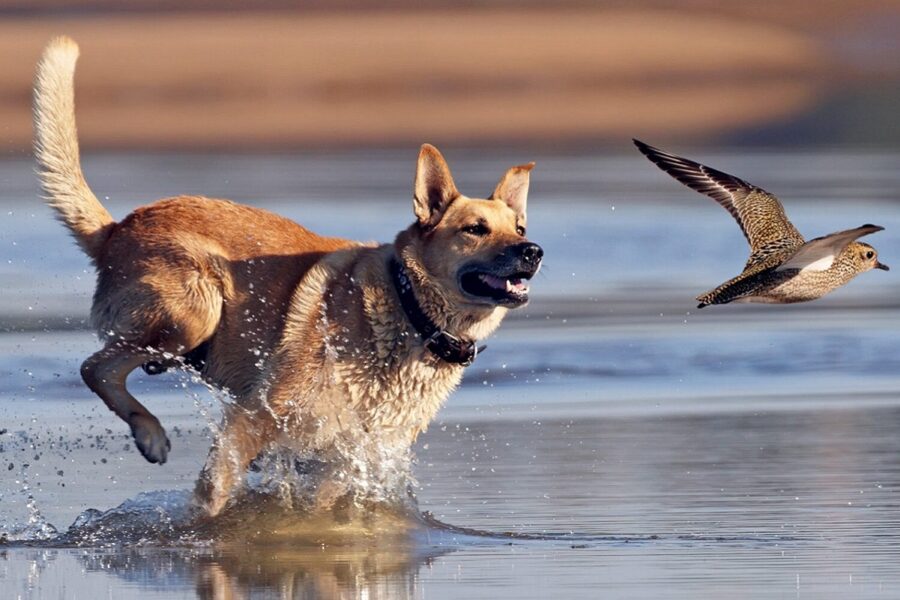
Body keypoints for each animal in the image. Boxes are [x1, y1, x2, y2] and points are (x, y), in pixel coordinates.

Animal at [33, 36, 540, 516]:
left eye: (518, 228)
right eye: (475, 229)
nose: (533, 252)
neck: (409, 311)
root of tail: (117, 228)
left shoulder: (347, 457)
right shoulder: (256, 416)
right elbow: (212, 496)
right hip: (196, 310)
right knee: (95, 366)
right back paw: (150, 434)